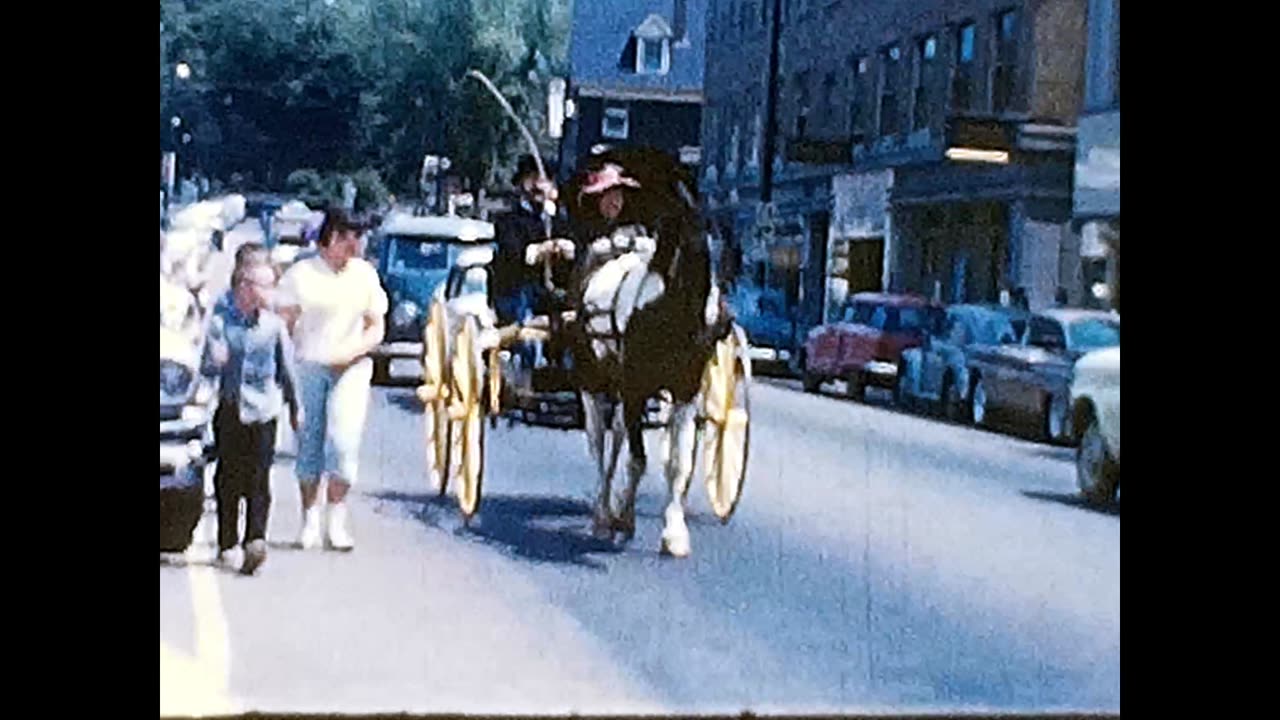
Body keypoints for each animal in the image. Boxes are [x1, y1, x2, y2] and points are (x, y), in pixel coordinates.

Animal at [563, 148, 732, 558]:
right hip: (592, 381)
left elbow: (677, 463)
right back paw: (601, 514)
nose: (713, 317)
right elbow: (638, 460)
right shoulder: (636, 387)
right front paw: (622, 521)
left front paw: (674, 533)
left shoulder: (685, 391)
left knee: (617, 440)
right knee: (598, 442)